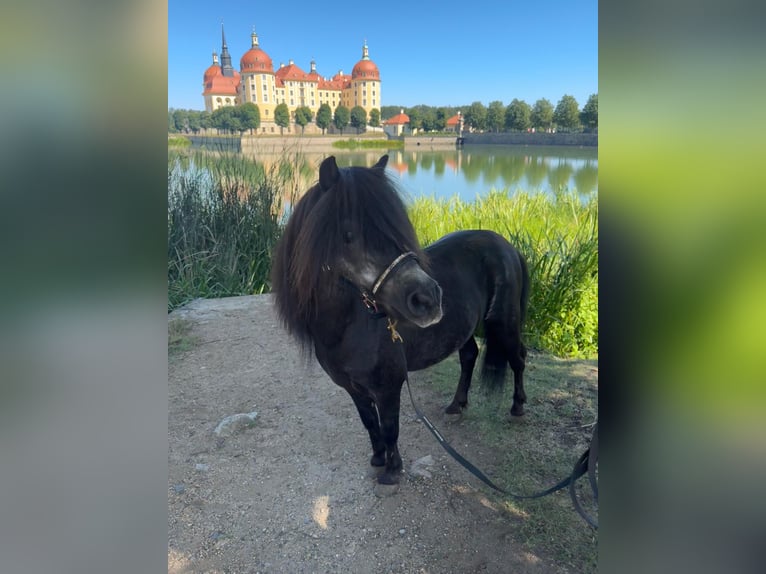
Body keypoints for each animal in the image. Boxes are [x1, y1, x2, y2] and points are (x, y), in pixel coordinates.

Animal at [272, 155, 532, 488]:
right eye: (348, 235)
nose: (429, 298)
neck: (347, 326)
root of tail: (507, 246)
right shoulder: (353, 389)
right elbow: (370, 423)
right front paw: (377, 459)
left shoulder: (388, 387)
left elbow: (390, 426)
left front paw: (392, 471)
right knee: (469, 355)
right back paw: (456, 405)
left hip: (504, 324)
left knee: (518, 358)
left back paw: (517, 406)